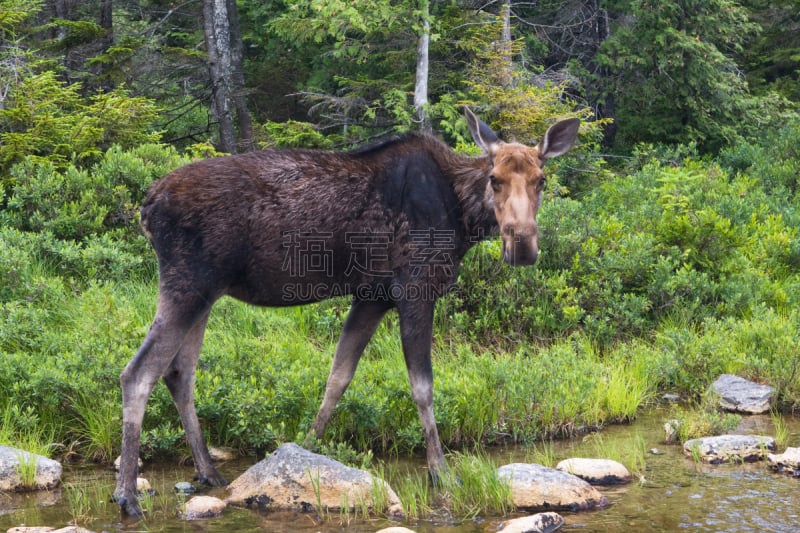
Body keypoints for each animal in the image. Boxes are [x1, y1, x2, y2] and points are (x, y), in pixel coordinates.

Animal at [112, 107, 580, 516]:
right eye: (494, 179)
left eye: (541, 179)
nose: (522, 244)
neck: (463, 218)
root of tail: (147, 206)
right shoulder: (414, 288)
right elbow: (422, 387)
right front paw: (441, 472)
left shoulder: (371, 295)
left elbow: (338, 375)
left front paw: (304, 450)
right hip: (188, 284)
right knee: (138, 373)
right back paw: (128, 497)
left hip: (205, 293)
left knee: (180, 373)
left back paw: (208, 472)